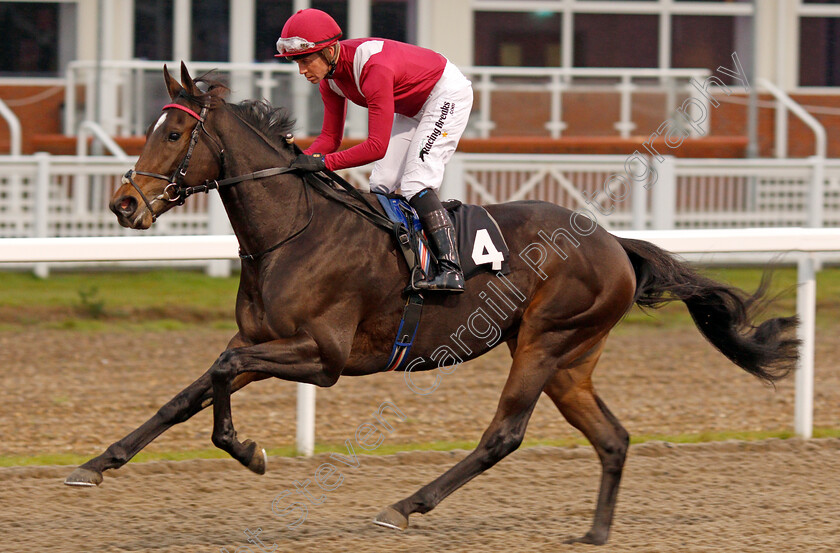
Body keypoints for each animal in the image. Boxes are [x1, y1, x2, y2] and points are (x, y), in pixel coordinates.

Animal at [64, 64, 796, 544]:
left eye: (172, 135)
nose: (123, 203)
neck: (294, 230)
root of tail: (613, 241)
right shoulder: (264, 341)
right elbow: (188, 392)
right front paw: (95, 466)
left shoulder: (322, 357)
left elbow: (220, 374)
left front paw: (248, 450)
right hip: (570, 359)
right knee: (612, 437)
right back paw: (594, 533)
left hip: (546, 340)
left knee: (504, 434)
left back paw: (406, 504)